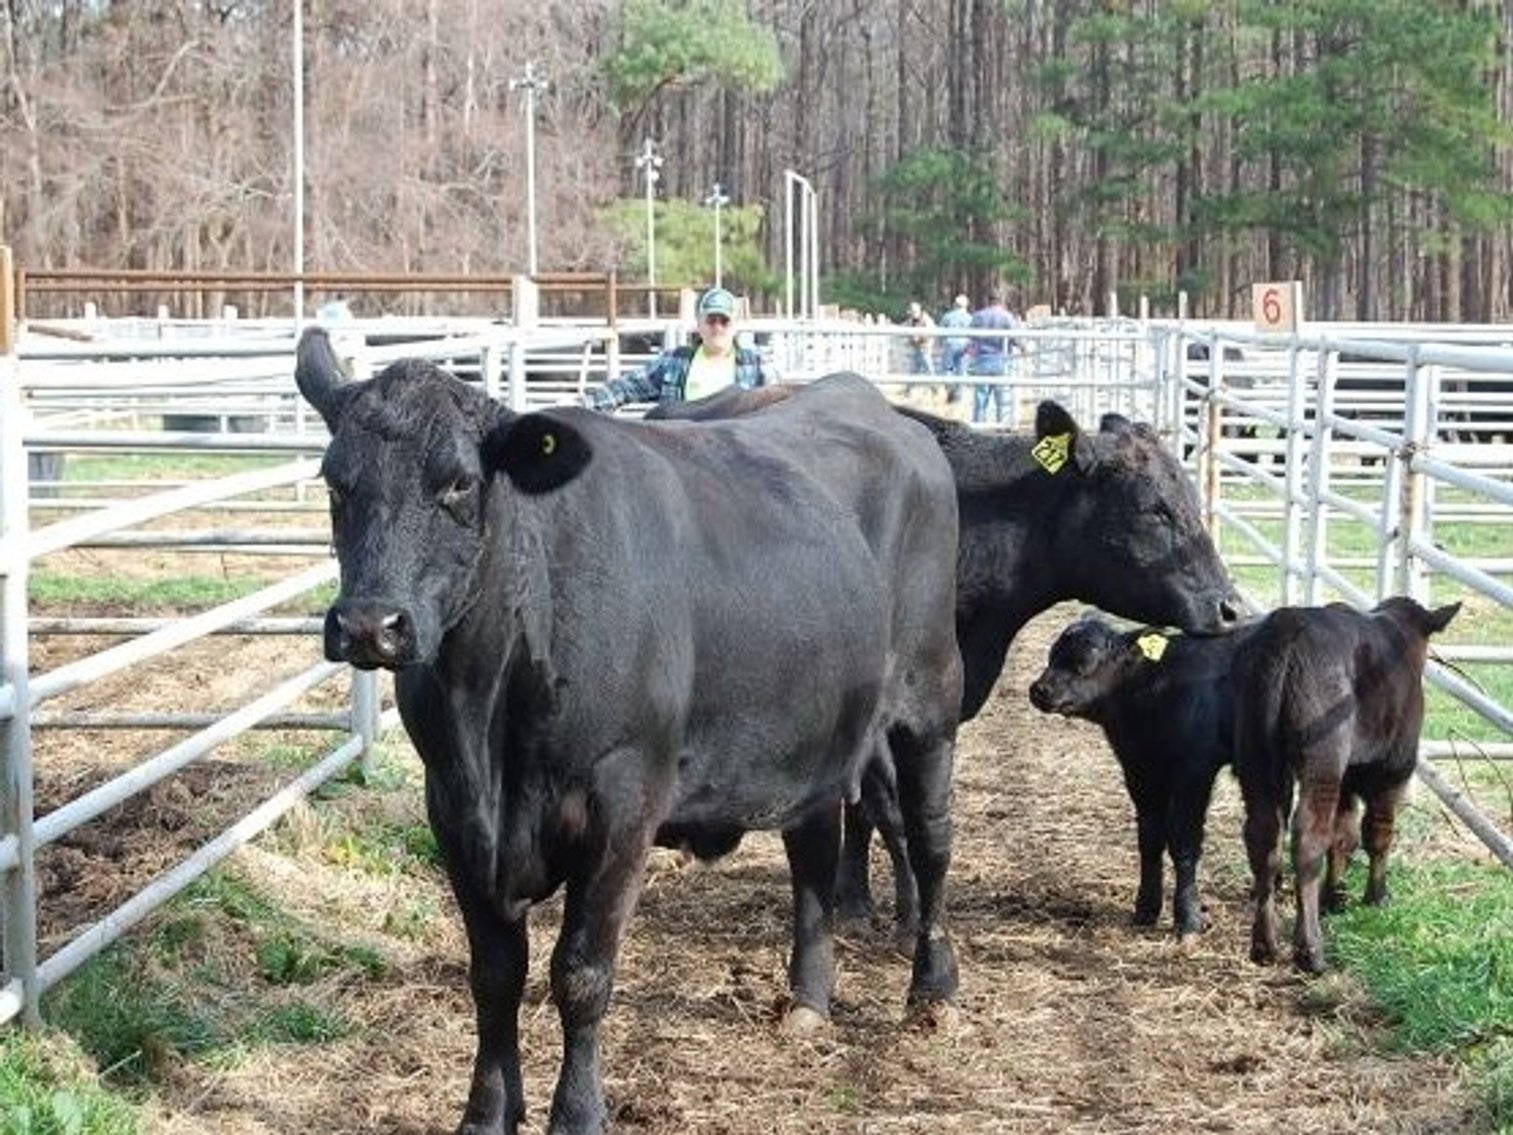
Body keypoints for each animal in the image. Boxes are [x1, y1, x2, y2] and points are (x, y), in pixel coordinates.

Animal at [293, 329, 963, 1135]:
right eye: (336, 482)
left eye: (456, 483)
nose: (369, 624)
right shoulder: (452, 808)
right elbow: (495, 974)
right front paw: (487, 1112)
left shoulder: (622, 803)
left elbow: (581, 974)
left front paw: (577, 1113)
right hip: (816, 727)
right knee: (813, 848)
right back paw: (808, 998)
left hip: (930, 696)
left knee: (930, 838)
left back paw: (932, 988)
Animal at [1028, 615, 1258, 939]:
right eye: (1052, 655)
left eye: (1084, 661)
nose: (1039, 690)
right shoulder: (1138, 769)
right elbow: (1149, 838)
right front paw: (1146, 909)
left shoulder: (1194, 769)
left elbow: (1183, 840)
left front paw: (1188, 918)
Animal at [1232, 596, 1460, 974]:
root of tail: (1287, 628)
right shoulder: (1392, 769)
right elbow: (1377, 833)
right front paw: (1376, 896)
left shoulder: (1350, 777)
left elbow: (1344, 835)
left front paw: (1334, 897)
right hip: (1323, 759)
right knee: (1308, 838)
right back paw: (1310, 949)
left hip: (1257, 758)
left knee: (1264, 838)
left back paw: (1264, 944)